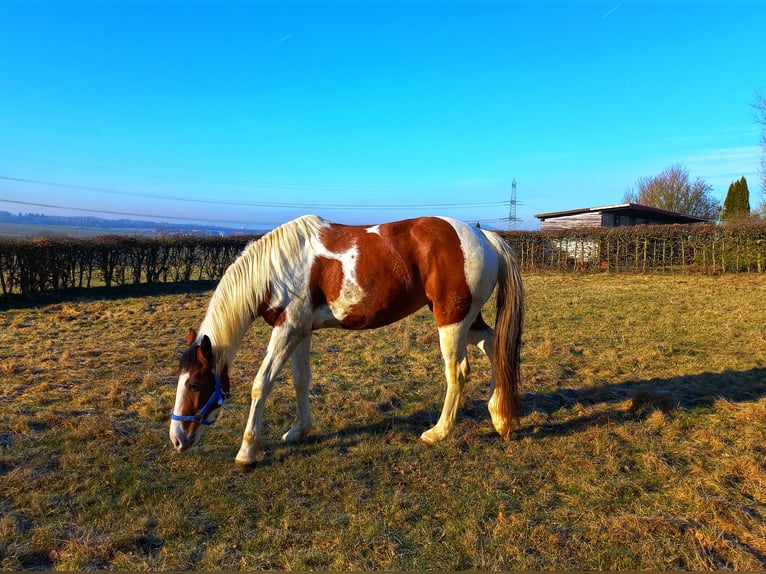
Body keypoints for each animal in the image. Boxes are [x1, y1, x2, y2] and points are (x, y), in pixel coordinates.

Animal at [170, 214, 524, 470]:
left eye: (195, 384)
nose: (176, 439)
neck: (278, 267)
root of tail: (484, 237)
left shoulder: (286, 330)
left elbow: (262, 384)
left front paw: (246, 452)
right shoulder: (300, 331)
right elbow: (301, 380)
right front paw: (299, 430)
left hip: (451, 321)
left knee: (458, 372)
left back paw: (438, 432)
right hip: (468, 320)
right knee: (494, 347)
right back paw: (500, 418)